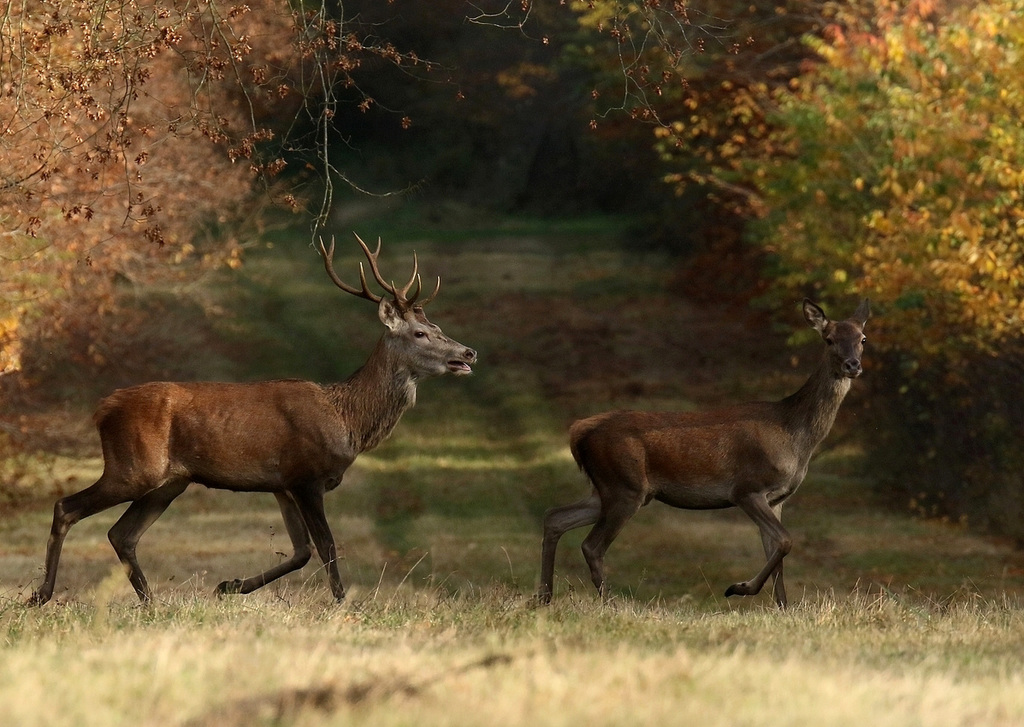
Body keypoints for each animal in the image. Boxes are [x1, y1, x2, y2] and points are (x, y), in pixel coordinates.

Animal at [28, 236, 475, 606]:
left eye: (437, 326)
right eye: (420, 333)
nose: (468, 352)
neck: (347, 420)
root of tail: (102, 408)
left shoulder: (281, 484)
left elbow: (301, 551)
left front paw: (229, 585)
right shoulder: (305, 475)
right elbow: (327, 547)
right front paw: (346, 607)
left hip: (170, 481)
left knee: (122, 534)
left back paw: (151, 602)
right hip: (133, 467)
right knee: (67, 507)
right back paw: (41, 595)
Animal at [540, 296, 868, 610]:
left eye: (862, 338)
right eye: (828, 339)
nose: (852, 365)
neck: (795, 436)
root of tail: (579, 431)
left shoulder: (777, 499)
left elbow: (777, 554)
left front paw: (784, 608)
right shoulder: (746, 489)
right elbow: (786, 541)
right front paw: (739, 588)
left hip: (608, 489)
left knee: (555, 517)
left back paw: (543, 597)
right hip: (624, 486)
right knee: (591, 545)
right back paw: (609, 604)